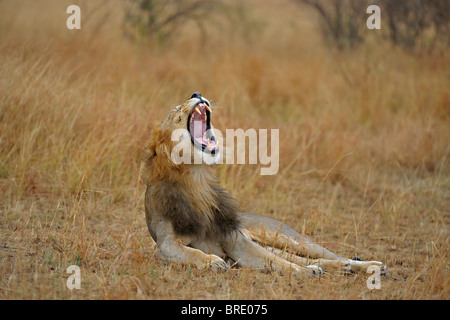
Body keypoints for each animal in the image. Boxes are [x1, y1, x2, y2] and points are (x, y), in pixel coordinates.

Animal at [142, 92, 386, 278]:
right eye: (176, 110)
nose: (196, 94)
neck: (197, 177)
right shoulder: (164, 243)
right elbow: (189, 252)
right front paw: (212, 261)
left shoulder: (236, 240)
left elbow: (275, 261)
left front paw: (303, 272)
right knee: (299, 257)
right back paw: (331, 268)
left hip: (293, 239)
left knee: (322, 254)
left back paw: (370, 265)